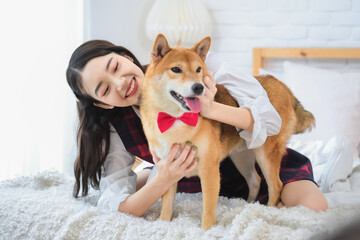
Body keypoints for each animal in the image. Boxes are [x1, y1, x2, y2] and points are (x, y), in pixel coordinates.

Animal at [141, 33, 316, 229]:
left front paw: (207, 230)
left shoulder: (209, 169)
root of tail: (282, 85)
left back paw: (268, 211)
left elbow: (208, 212)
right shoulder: (169, 170)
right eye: (176, 69)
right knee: (255, 181)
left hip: (265, 152)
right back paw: (247, 206)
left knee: (276, 186)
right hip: (241, 155)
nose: (199, 87)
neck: (175, 119)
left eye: (198, 69)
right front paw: (163, 224)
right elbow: (166, 209)